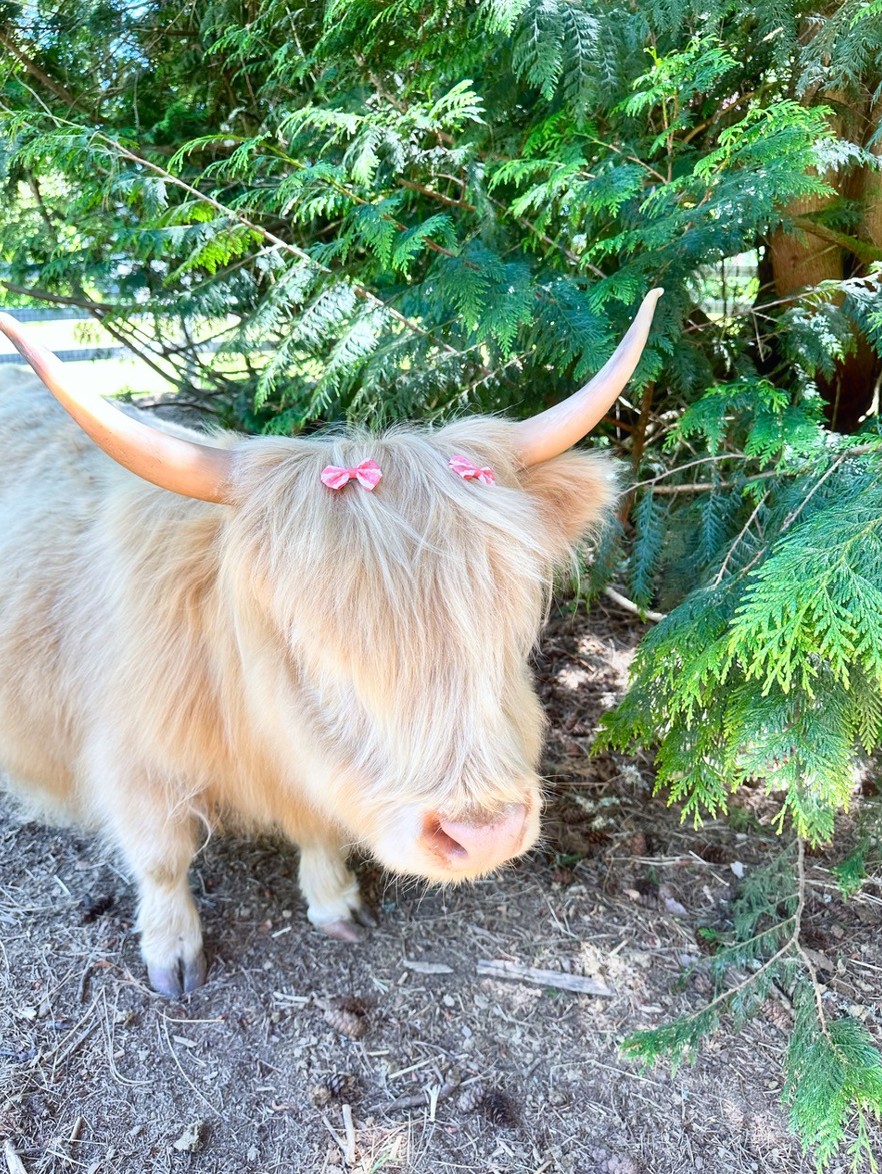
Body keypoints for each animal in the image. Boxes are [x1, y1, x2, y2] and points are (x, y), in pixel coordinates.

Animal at [0, 290, 661, 996]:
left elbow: (317, 824)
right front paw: (173, 952)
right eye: (311, 641)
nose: (483, 834)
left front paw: (336, 900)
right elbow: (161, 857)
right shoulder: (134, 759)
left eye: (505, 621)